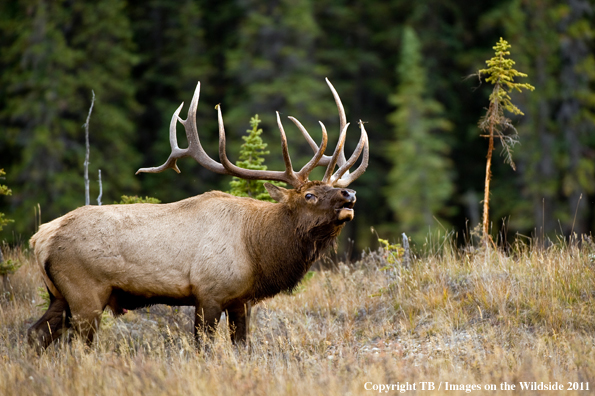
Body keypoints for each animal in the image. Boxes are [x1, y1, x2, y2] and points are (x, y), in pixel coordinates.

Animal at [30, 79, 370, 348]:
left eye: (334, 188)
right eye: (309, 195)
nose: (350, 194)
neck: (258, 250)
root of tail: (40, 238)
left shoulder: (240, 300)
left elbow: (242, 346)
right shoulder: (209, 293)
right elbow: (203, 347)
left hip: (60, 295)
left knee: (36, 333)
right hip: (85, 292)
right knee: (77, 344)